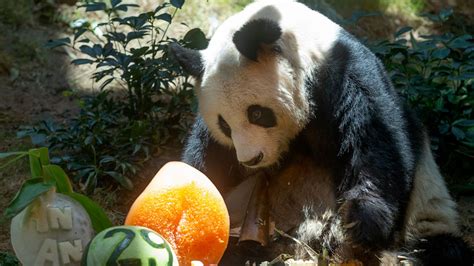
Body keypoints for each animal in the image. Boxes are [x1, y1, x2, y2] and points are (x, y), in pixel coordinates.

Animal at [168, 0, 472, 264]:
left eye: (257, 114)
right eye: (224, 125)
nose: (251, 159)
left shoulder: (346, 77)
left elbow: (376, 144)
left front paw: (361, 220)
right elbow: (208, 156)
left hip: (426, 210)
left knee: (439, 244)